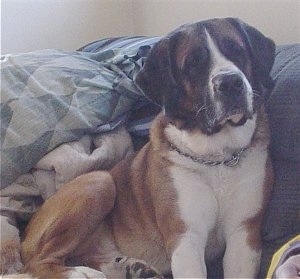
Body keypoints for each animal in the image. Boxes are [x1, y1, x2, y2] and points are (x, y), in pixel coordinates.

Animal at [17, 18, 274, 279]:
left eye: (237, 50)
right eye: (193, 64)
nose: (230, 82)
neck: (217, 157)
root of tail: (25, 231)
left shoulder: (244, 233)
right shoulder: (185, 237)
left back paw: (131, 268)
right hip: (100, 182)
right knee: (36, 262)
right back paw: (79, 273)